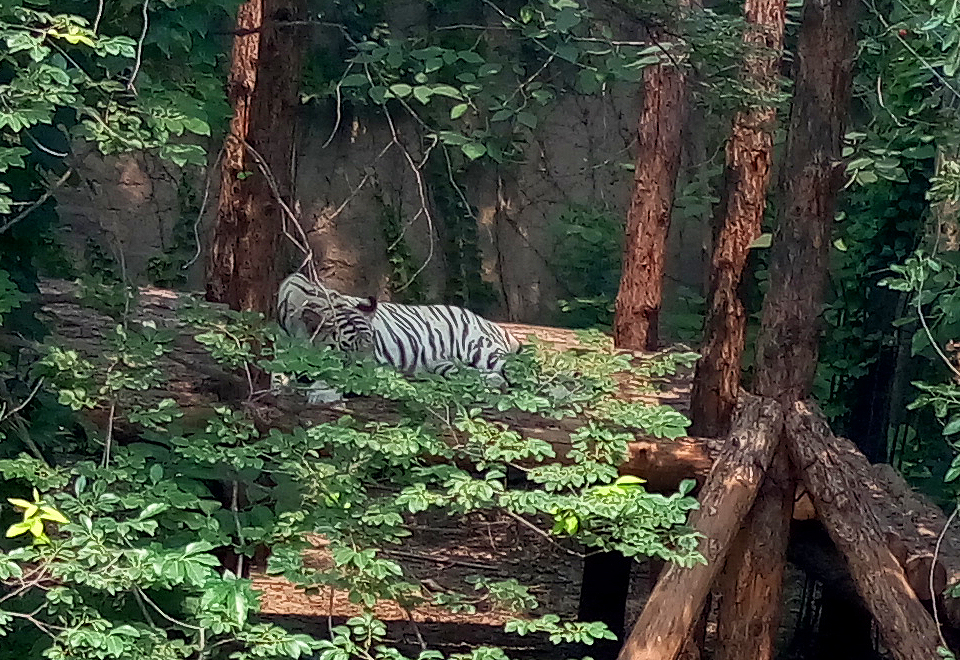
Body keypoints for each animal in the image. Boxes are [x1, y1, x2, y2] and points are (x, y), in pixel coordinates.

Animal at [274, 270, 520, 402]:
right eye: (345, 352)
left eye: (370, 348)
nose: (369, 378)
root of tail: (491, 323)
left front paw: (322, 392)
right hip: (444, 365)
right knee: (467, 374)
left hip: (482, 349)